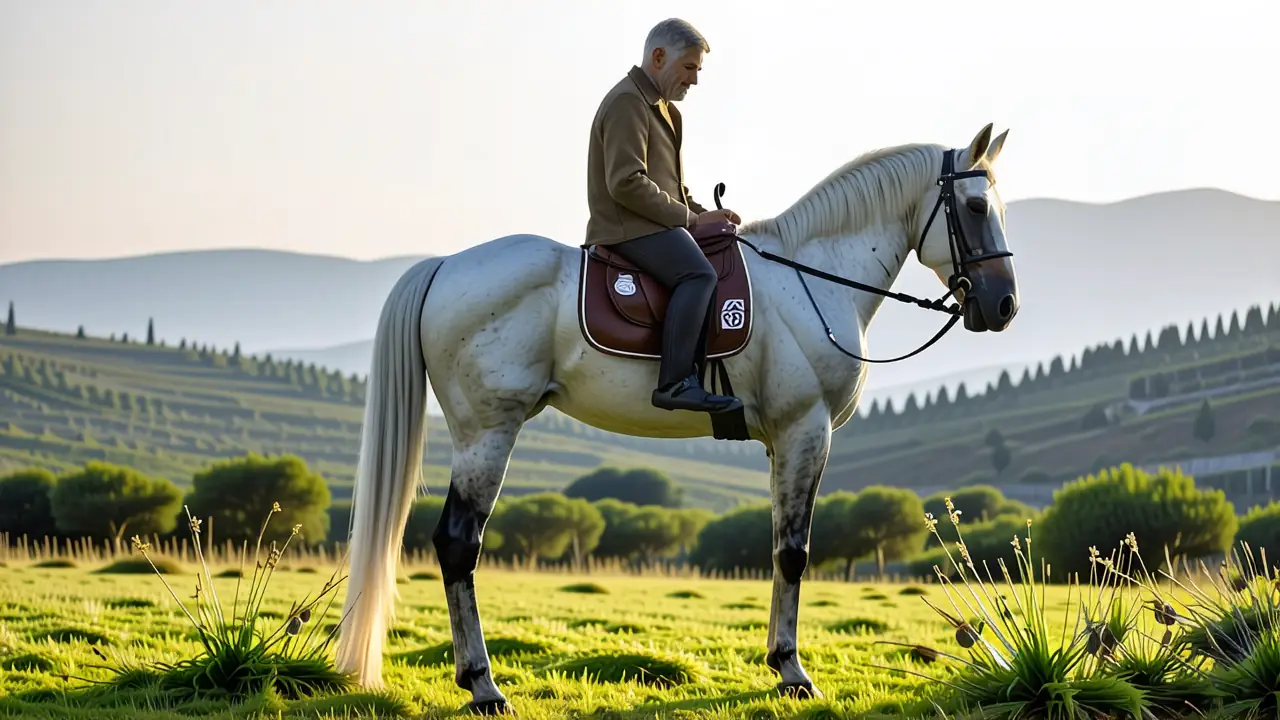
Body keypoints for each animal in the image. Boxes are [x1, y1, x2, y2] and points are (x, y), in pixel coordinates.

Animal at [334, 122, 1020, 714]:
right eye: (975, 208)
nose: (1003, 305)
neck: (812, 280)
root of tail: (444, 266)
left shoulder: (782, 441)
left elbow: (777, 545)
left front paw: (778, 661)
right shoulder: (806, 428)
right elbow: (794, 552)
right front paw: (794, 674)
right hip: (488, 432)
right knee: (458, 544)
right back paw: (483, 686)